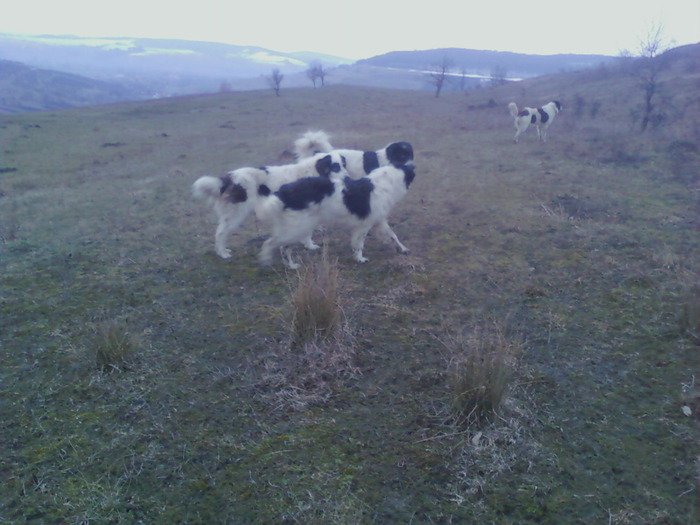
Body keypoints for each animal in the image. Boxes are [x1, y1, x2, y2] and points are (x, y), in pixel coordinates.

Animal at [191, 151, 348, 258]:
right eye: (335, 167)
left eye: (343, 165)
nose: (347, 178)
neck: (312, 172)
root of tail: (229, 178)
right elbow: (307, 232)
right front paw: (309, 245)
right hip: (237, 213)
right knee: (221, 232)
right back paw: (223, 253)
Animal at [254, 164, 416, 268]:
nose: (413, 166)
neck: (383, 183)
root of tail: (284, 192)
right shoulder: (364, 226)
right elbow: (359, 244)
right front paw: (360, 259)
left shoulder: (379, 221)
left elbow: (393, 236)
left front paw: (403, 249)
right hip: (297, 228)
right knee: (272, 244)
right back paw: (267, 261)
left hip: (299, 227)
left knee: (283, 247)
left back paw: (291, 266)